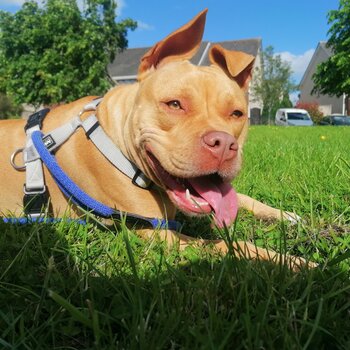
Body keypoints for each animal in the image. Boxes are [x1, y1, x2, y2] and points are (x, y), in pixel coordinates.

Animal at [0, 10, 312, 268]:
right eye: (174, 104)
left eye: (237, 113)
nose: (223, 145)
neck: (114, 140)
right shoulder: (159, 234)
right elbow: (230, 245)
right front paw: (295, 263)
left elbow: (241, 197)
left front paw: (283, 215)